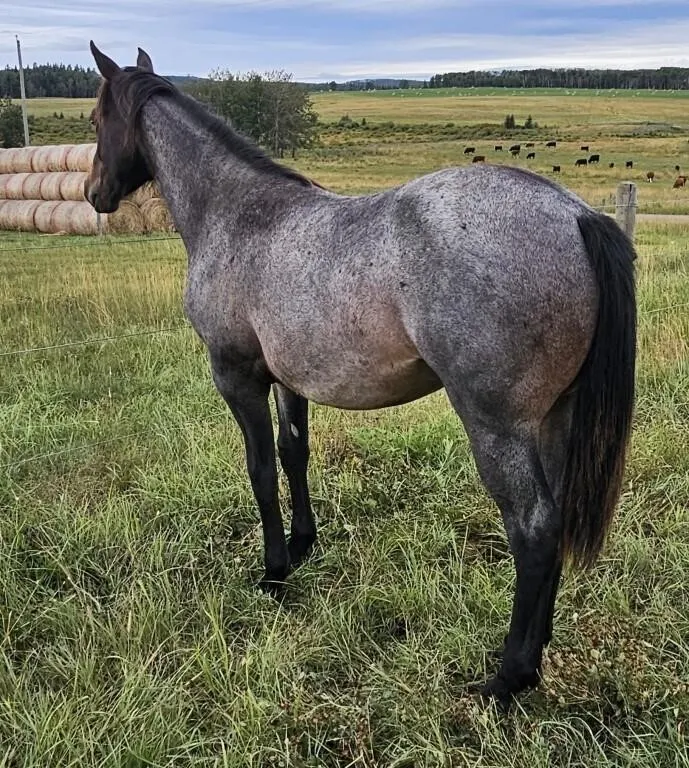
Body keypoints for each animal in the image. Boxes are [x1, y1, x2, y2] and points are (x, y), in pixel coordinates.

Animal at [84, 43, 637, 711]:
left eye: (95, 119)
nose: (92, 193)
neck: (239, 216)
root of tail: (577, 215)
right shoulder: (289, 380)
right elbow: (294, 454)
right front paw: (303, 545)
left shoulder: (237, 378)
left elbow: (260, 470)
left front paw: (273, 573)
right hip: (557, 416)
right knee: (553, 527)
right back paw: (537, 652)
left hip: (498, 427)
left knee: (533, 529)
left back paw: (509, 677)